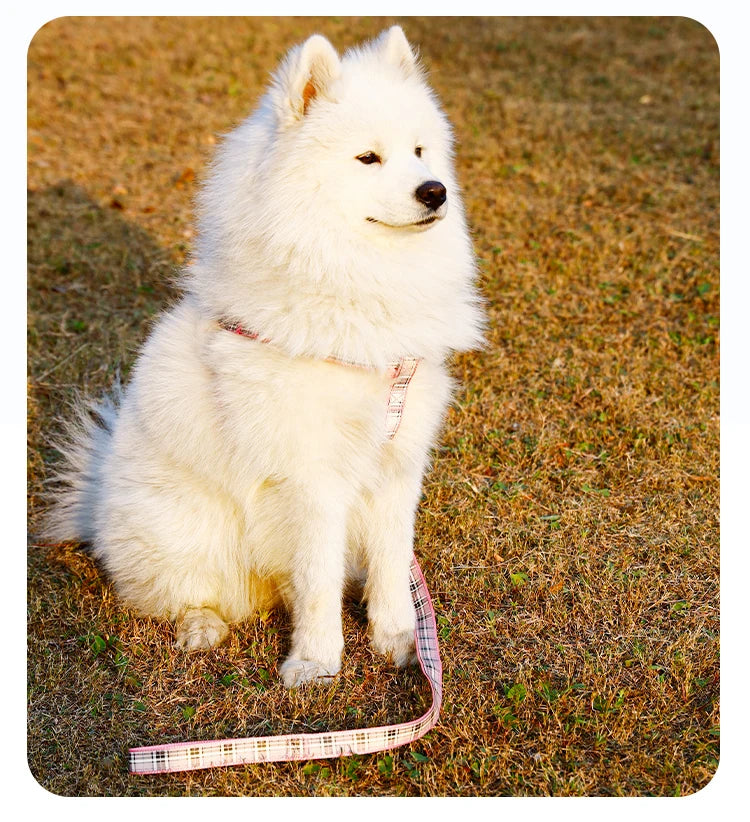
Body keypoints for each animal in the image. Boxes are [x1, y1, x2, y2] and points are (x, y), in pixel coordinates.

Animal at [47, 27, 484, 688]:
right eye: (368, 158)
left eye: (419, 151)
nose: (435, 191)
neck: (357, 285)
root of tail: (94, 499)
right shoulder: (313, 479)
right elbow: (319, 581)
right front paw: (316, 663)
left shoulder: (397, 463)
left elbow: (390, 567)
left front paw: (401, 641)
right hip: (186, 532)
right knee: (176, 596)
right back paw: (201, 628)